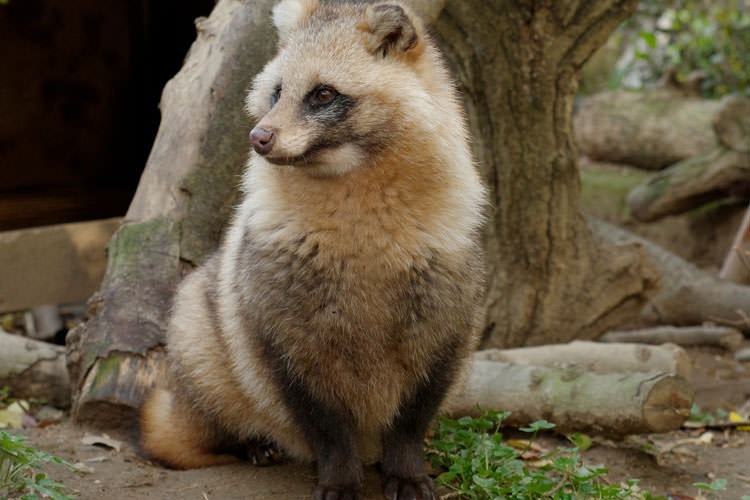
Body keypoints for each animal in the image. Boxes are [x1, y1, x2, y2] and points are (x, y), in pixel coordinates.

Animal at [140, 0, 488, 496]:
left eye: (323, 94)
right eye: (276, 93)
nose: (258, 137)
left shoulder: (447, 322)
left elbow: (412, 418)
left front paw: (405, 468)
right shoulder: (280, 333)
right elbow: (325, 423)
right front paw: (340, 475)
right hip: (198, 339)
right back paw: (251, 442)